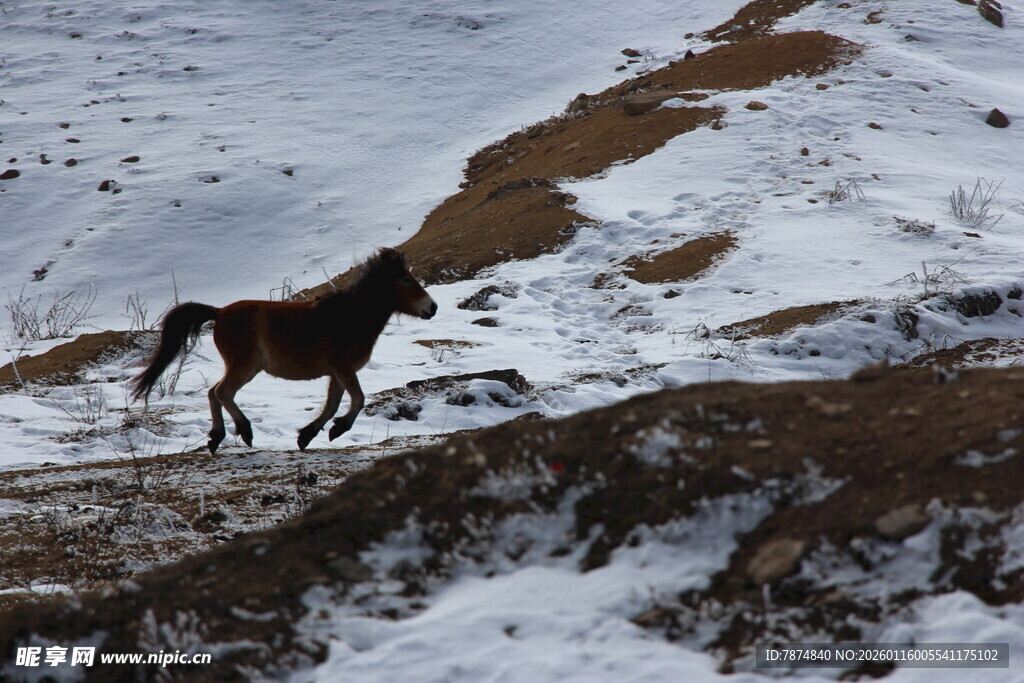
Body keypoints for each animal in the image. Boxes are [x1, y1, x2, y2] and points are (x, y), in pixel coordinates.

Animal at [131, 248, 437, 454]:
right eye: (406, 280)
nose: (432, 308)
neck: (350, 316)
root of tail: (218, 313)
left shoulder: (337, 373)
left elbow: (333, 405)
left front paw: (307, 436)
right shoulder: (344, 368)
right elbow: (358, 399)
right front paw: (337, 430)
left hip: (245, 368)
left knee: (213, 392)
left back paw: (216, 438)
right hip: (245, 366)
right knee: (222, 392)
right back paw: (245, 432)